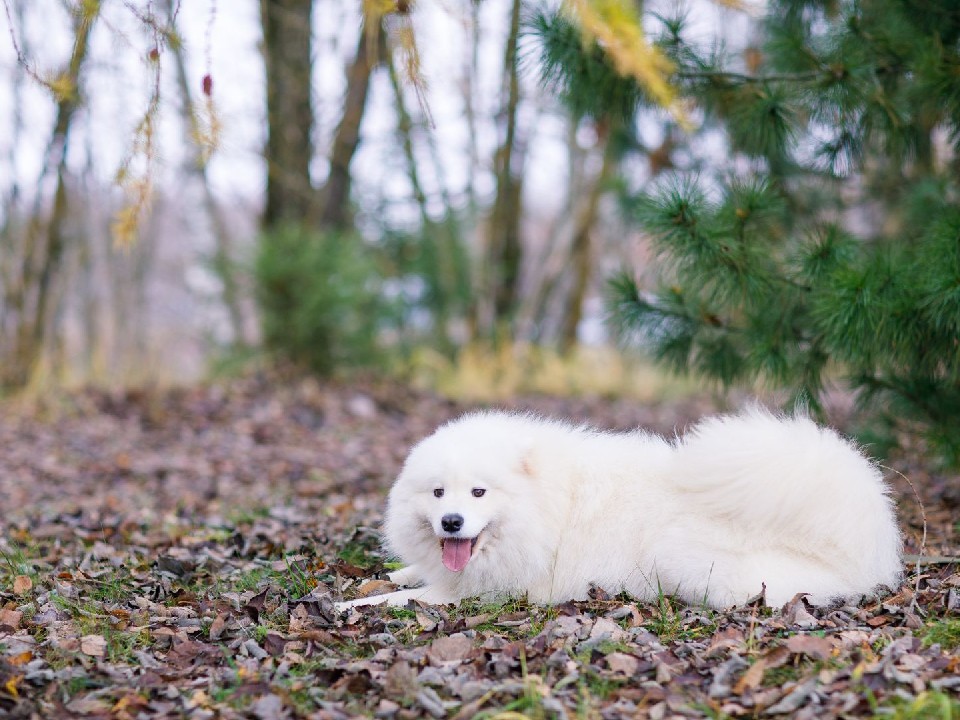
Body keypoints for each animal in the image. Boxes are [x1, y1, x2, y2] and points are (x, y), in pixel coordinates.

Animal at [342, 408, 904, 612]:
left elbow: (408, 598)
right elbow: (410, 575)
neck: (545, 505)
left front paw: (352, 606)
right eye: (438, 494)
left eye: (479, 493)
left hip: (685, 557)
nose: (451, 523)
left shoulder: (486, 591)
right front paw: (390, 573)